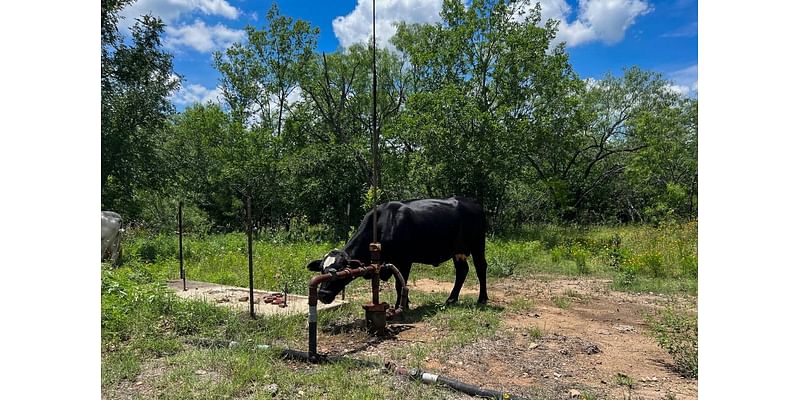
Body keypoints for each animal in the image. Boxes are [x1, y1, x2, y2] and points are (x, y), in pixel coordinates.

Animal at [306, 197, 488, 306]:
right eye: (322, 270)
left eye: (341, 271)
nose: (323, 294)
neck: (382, 224)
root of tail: (474, 204)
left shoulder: (404, 260)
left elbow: (400, 285)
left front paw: (402, 306)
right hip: (458, 251)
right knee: (462, 270)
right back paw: (451, 299)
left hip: (477, 245)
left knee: (480, 268)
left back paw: (482, 299)